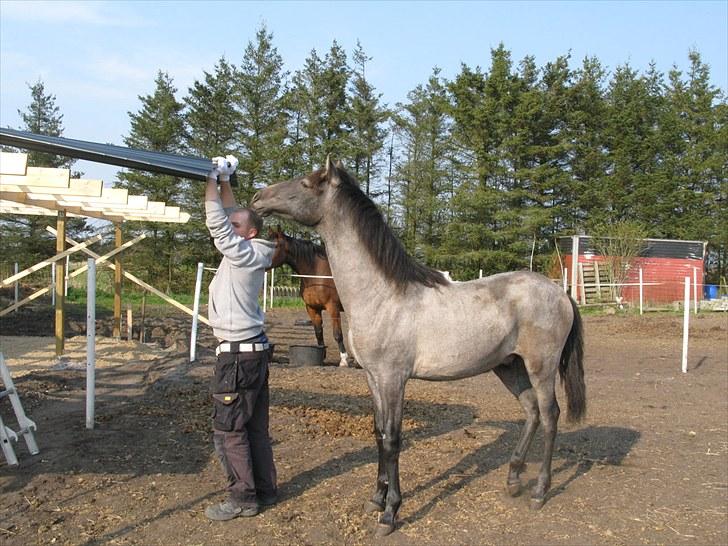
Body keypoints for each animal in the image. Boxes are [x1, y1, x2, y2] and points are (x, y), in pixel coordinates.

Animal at [268, 225, 352, 366]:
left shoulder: (333, 308)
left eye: (275, 246)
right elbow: (318, 332)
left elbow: (337, 334)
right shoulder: (312, 308)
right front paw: (322, 355)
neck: (316, 274)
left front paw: (344, 359)